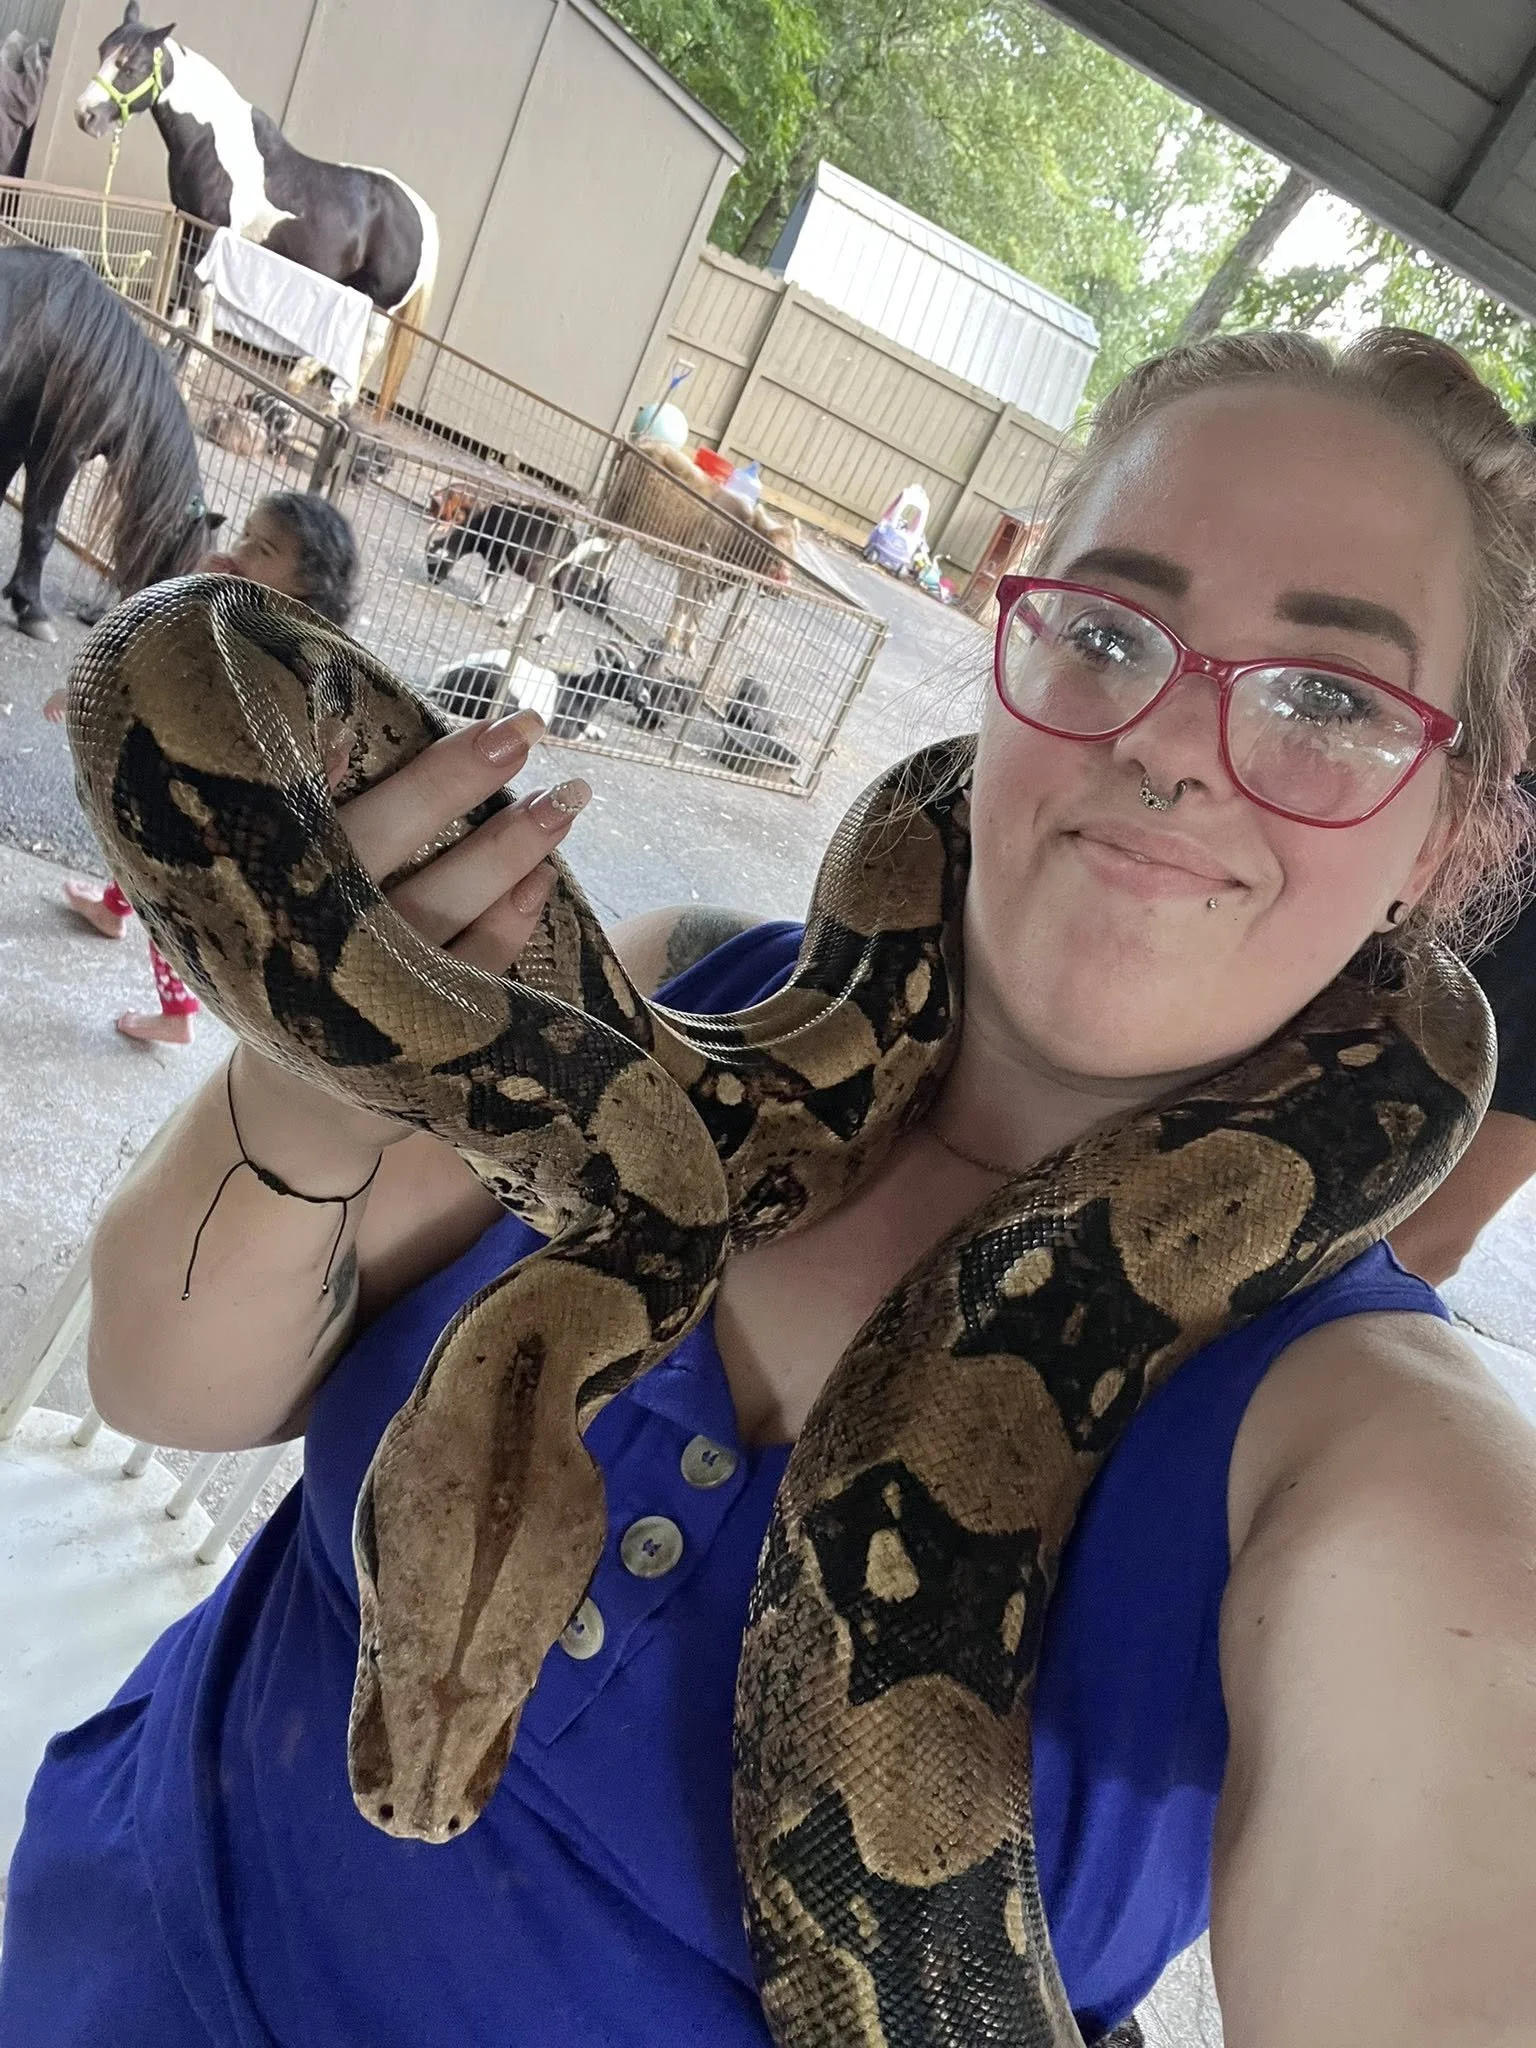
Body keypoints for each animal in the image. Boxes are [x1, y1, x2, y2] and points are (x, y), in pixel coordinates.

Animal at [75, 2, 438, 394]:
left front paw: (195, 362)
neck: (214, 141)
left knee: (368, 347)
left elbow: (207, 292)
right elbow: (185, 286)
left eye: (131, 66)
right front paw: (173, 341)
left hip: (382, 303)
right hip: (358, 290)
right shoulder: (190, 224)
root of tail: (424, 216)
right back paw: (299, 378)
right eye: (102, 53)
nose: (85, 114)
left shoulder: (216, 231)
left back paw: (331, 397)